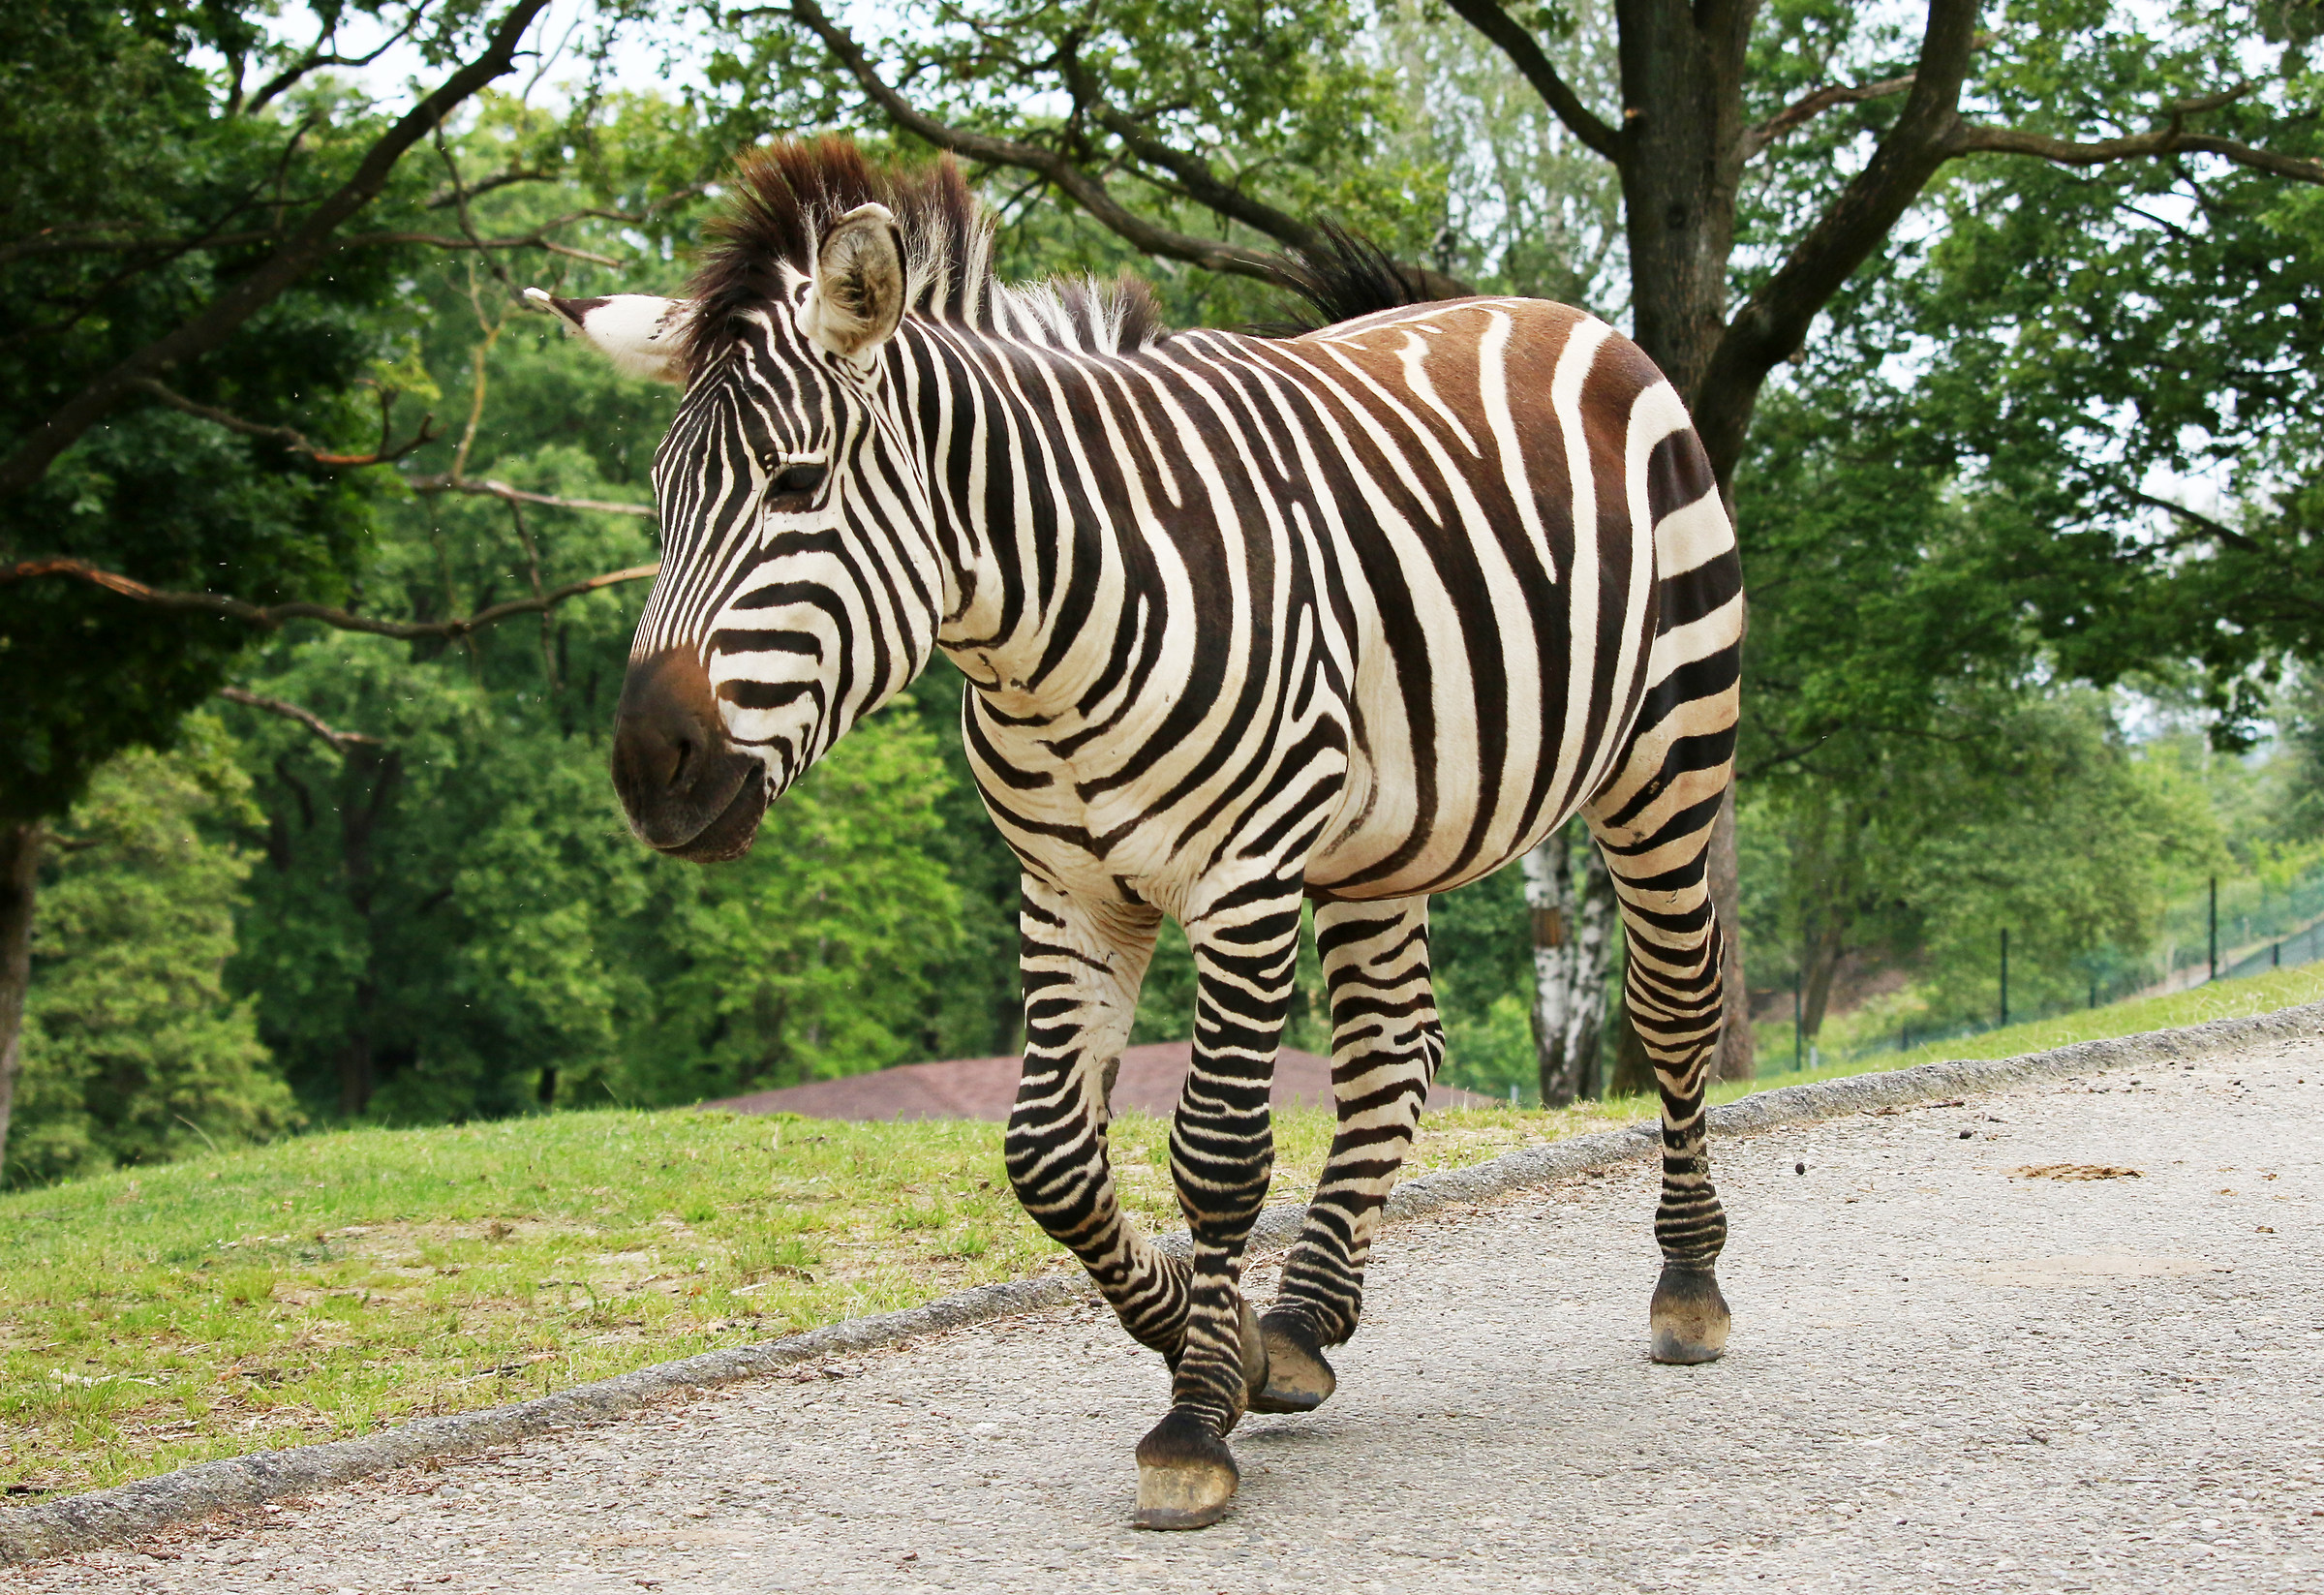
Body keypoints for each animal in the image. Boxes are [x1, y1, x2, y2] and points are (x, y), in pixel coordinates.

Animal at [536, 137, 1742, 1530]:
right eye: (658, 504)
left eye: (795, 483)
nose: (648, 770)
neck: (1044, 628)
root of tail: (1552, 311)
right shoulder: (1065, 888)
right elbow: (1050, 1159)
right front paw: (1217, 1345)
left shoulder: (1246, 873)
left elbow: (1216, 1148)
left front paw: (1194, 1418)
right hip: (1383, 834)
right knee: (1395, 1047)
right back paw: (1305, 1321)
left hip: (1667, 759)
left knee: (1675, 1004)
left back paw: (1689, 1287)